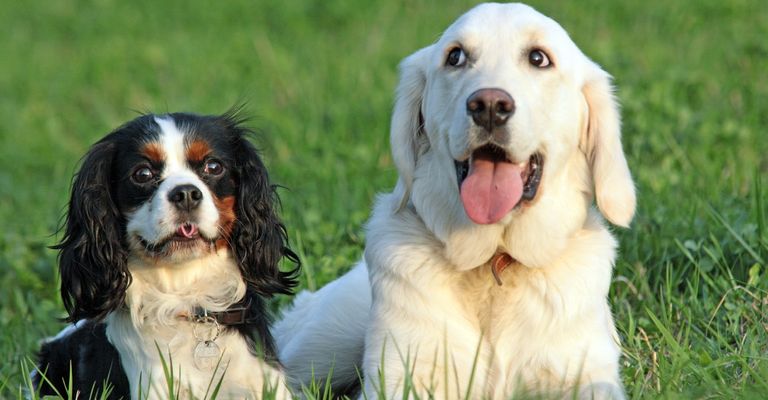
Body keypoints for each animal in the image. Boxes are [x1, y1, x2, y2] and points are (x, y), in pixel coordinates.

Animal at [276, 3, 636, 400]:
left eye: (539, 58)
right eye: (456, 56)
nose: (489, 105)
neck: (494, 263)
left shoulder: (584, 372)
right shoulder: (404, 373)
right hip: (325, 345)